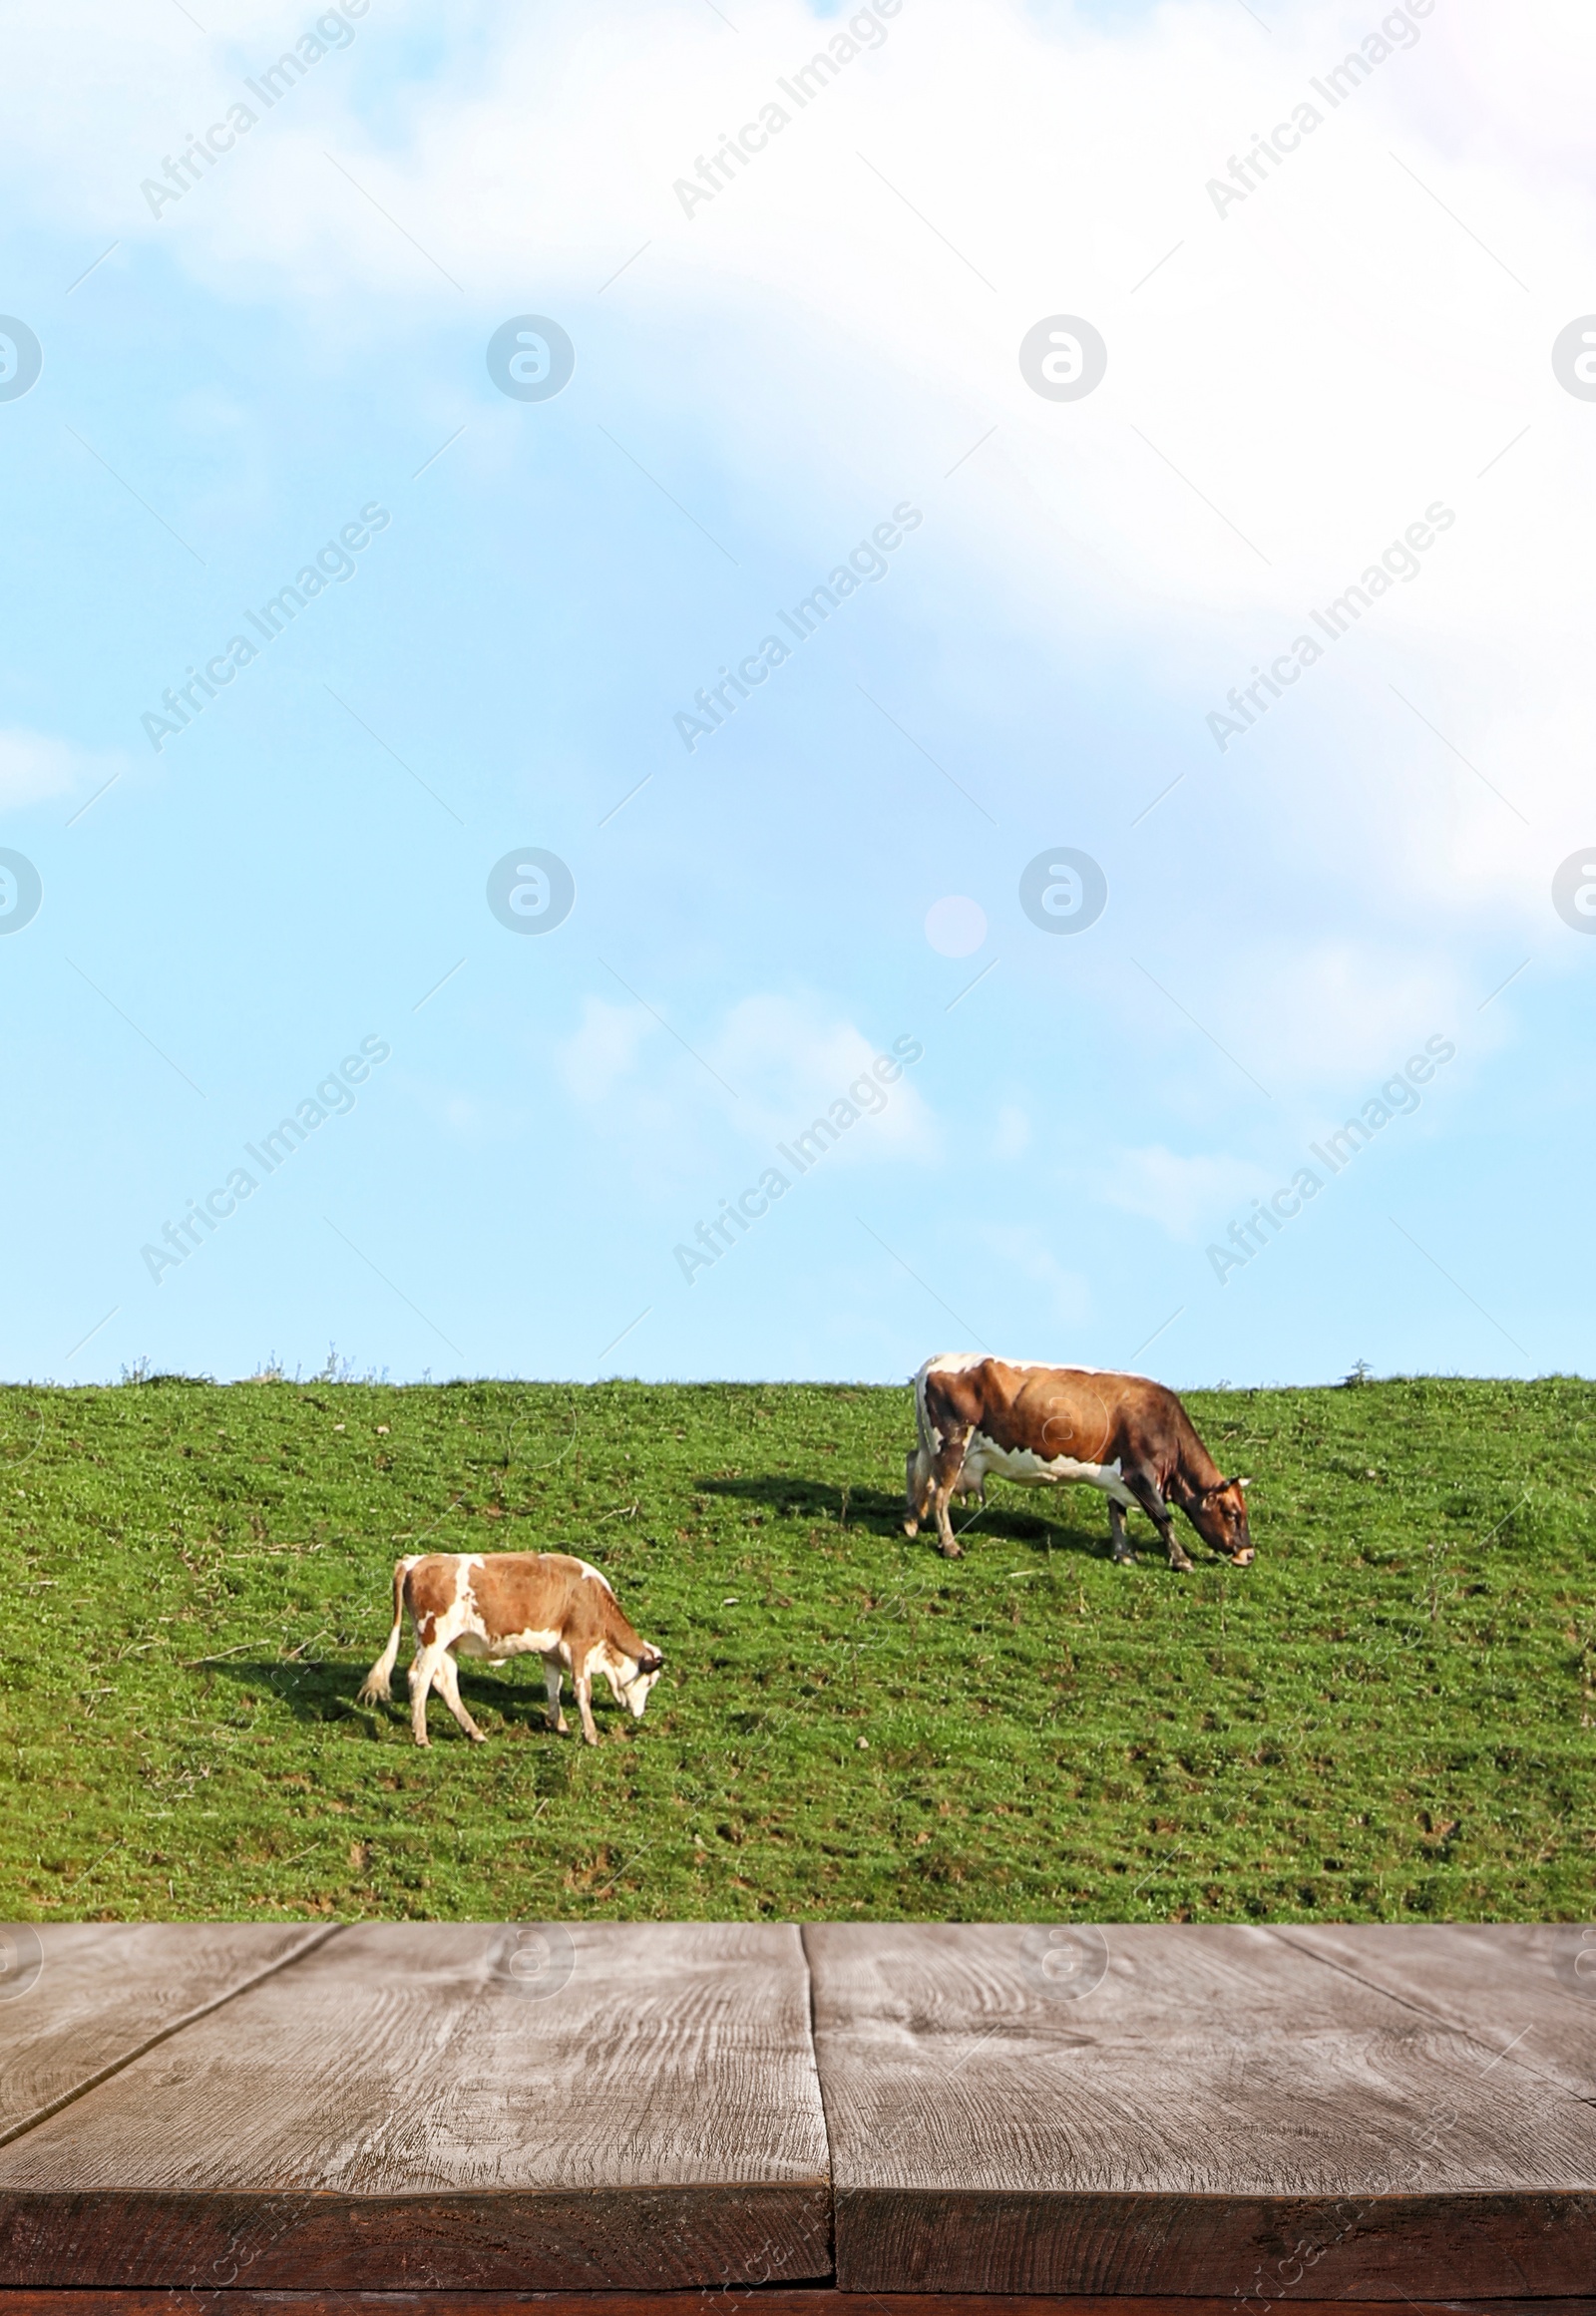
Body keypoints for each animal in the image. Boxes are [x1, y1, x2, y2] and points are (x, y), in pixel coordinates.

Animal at [358, 1547, 662, 1741]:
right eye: (649, 1681)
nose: (639, 1714)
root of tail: (415, 1561)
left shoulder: (551, 1652)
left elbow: (553, 1687)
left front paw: (559, 1724)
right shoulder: (579, 1645)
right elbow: (582, 1691)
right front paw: (590, 1735)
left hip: (447, 1645)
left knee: (445, 1683)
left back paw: (475, 1733)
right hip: (433, 1637)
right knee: (419, 1680)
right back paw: (421, 1736)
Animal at [903, 1352, 1250, 1574]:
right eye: (1233, 1514)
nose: (1249, 1553)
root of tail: (936, 1361)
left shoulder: (1118, 1478)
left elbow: (1117, 1515)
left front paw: (1124, 1555)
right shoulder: (1140, 1474)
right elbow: (1162, 1518)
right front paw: (1181, 1561)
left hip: (932, 1445)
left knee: (915, 1465)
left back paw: (911, 1521)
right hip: (953, 1443)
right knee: (940, 1493)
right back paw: (950, 1546)